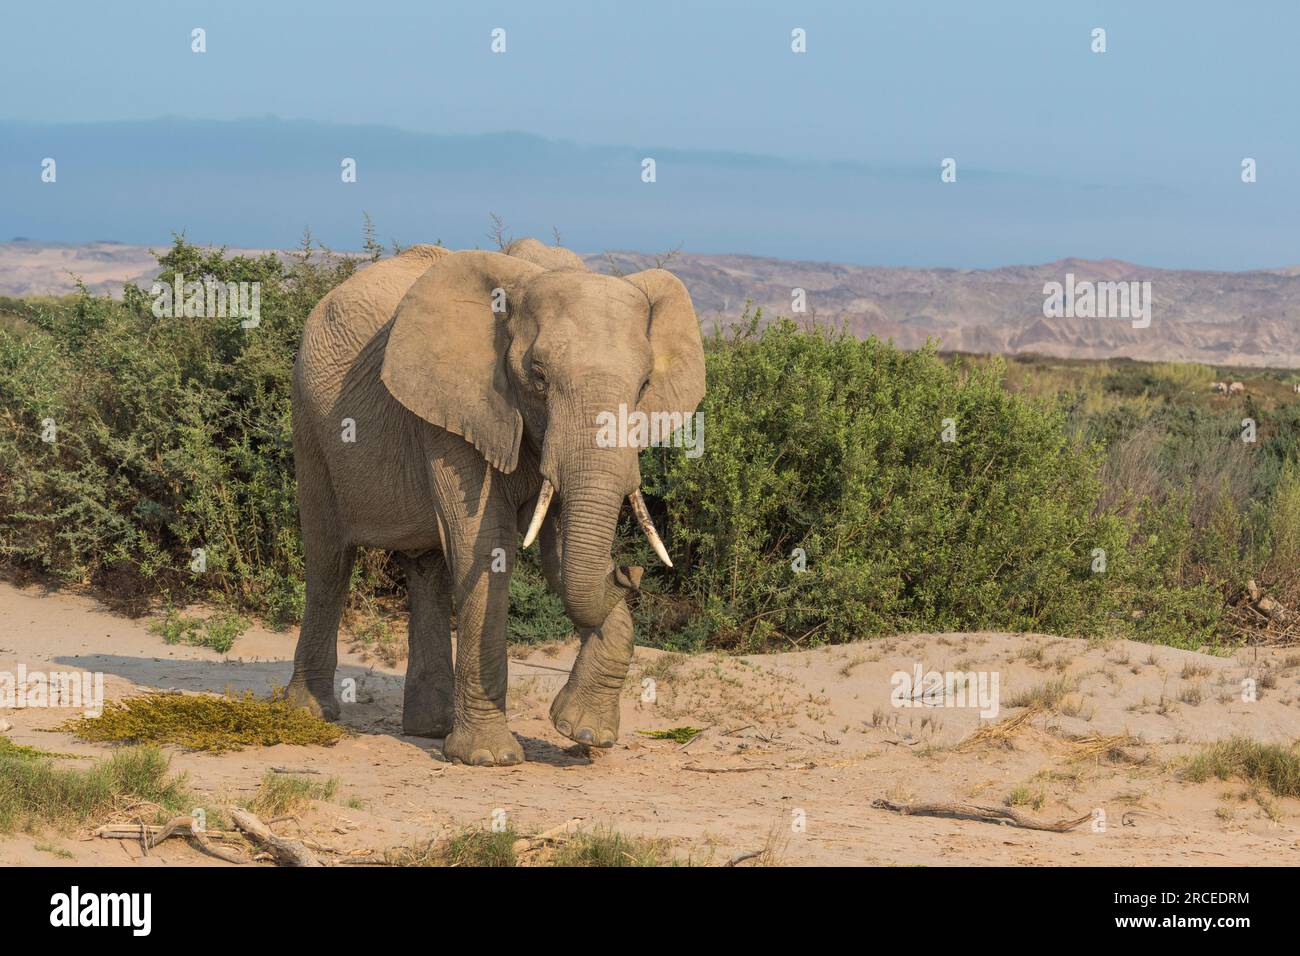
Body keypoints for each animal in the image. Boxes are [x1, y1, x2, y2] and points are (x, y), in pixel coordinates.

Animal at [286, 239, 707, 770]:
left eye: (644, 384)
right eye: (538, 377)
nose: (630, 571)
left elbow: (559, 555)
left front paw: (583, 730)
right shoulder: (459, 407)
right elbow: (487, 546)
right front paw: (491, 759)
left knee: (428, 568)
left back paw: (431, 729)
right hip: (310, 421)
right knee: (329, 559)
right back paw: (311, 714)